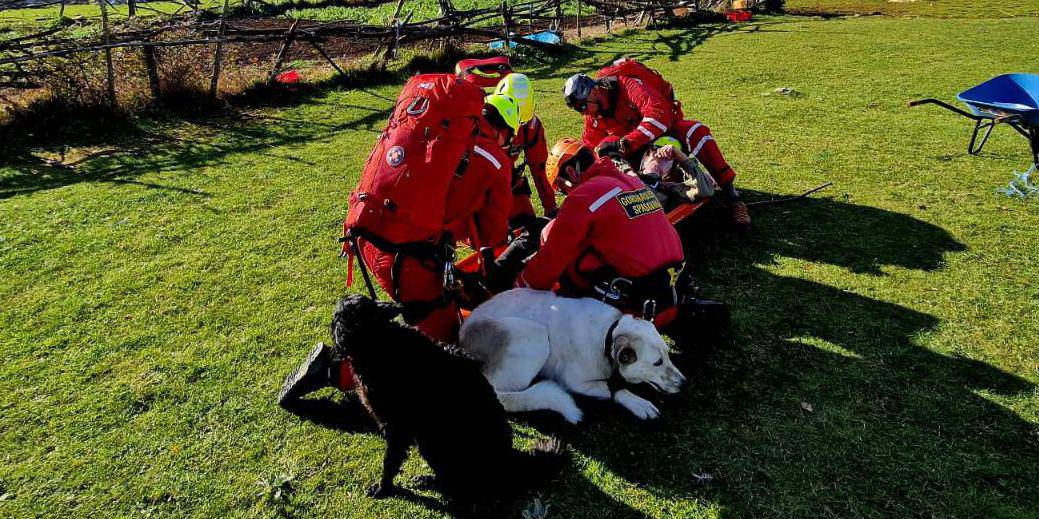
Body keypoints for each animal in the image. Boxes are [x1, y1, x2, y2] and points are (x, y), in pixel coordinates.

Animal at [328, 294, 565, 508]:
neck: (378, 341)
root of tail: (510, 463)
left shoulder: (397, 427)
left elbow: (390, 462)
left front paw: (383, 488)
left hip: (433, 443)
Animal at [459, 286, 685, 423]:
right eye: (657, 363)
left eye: (668, 354)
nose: (684, 383)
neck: (607, 336)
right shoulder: (575, 382)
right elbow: (613, 388)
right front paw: (638, 402)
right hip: (534, 334)